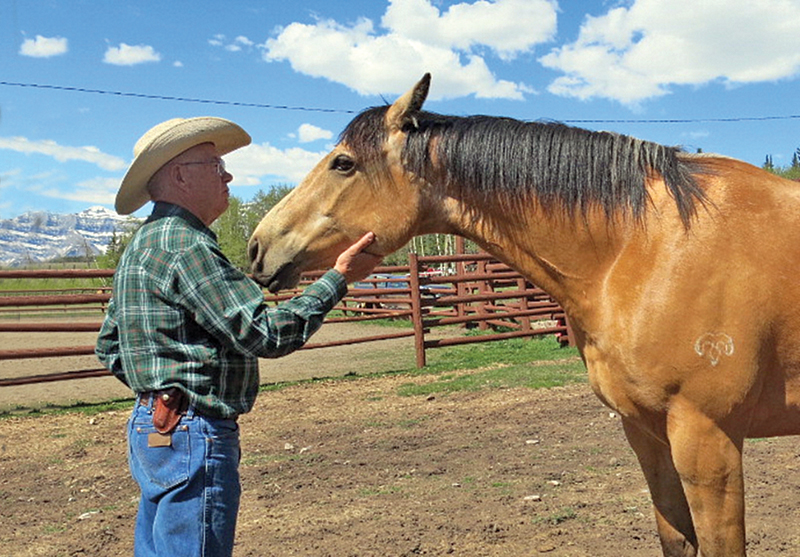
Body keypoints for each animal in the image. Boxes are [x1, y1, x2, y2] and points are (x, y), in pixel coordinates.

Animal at [247, 73, 800, 557]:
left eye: (343, 163)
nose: (256, 247)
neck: (644, 248)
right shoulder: (647, 435)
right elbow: (677, 541)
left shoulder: (708, 443)